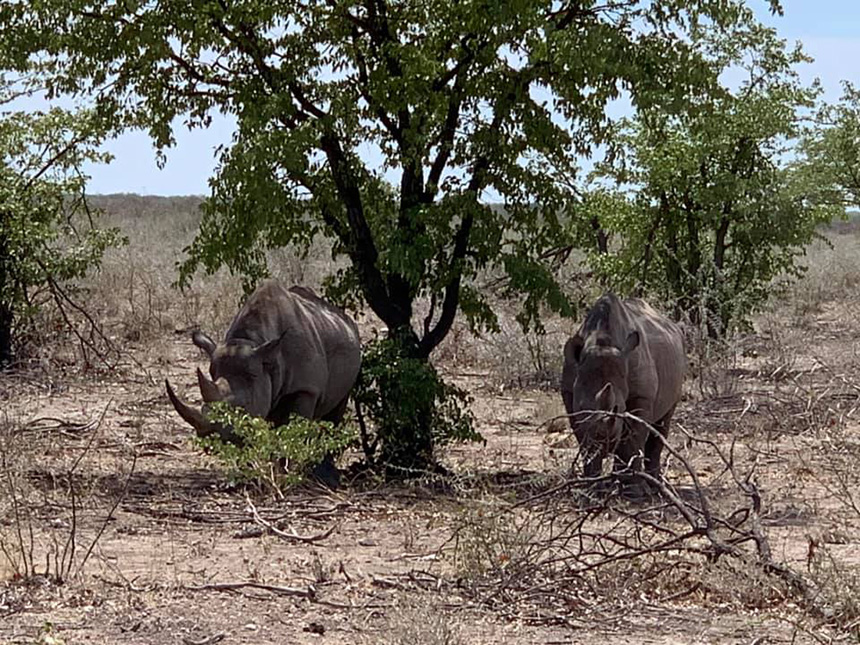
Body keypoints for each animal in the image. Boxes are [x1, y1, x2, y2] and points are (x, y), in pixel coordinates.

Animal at [165, 281, 362, 483]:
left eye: (243, 407)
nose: (210, 438)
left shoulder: (305, 389)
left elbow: (294, 429)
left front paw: (287, 474)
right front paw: (253, 473)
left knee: (336, 410)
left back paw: (325, 476)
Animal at [561, 293, 686, 496]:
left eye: (618, 408)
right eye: (581, 408)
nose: (605, 445)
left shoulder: (641, 395)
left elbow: (632, 438)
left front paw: (633, 491)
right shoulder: (569, 392)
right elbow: (583, 439)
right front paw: (592, 488)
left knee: (662, 423)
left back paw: (654, 486)